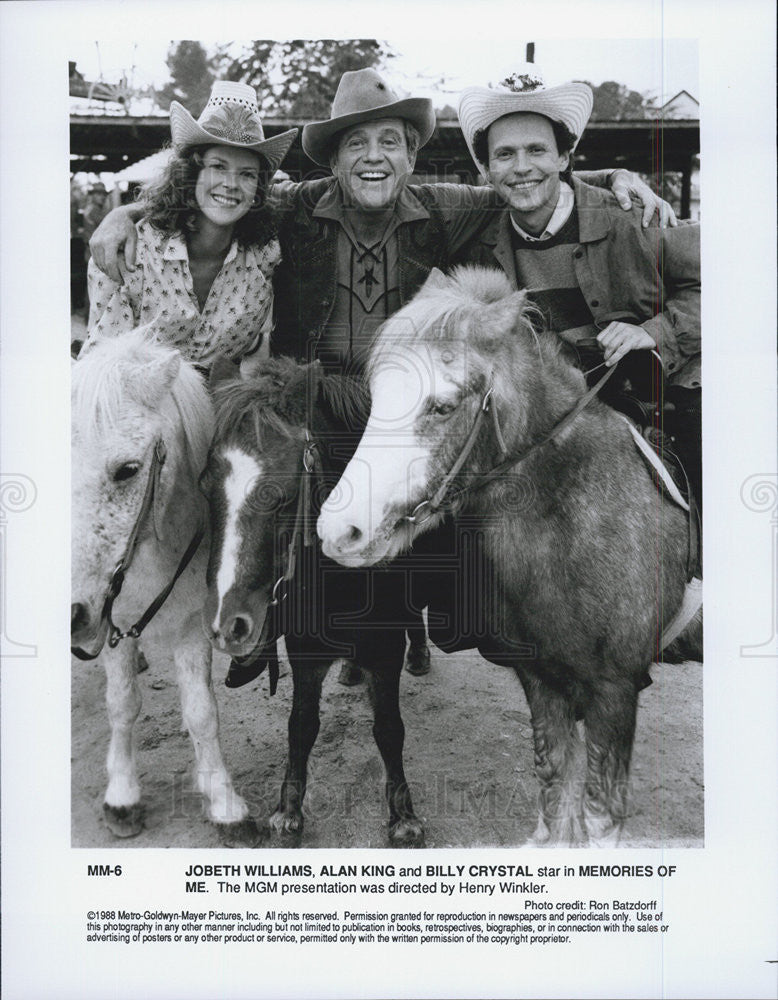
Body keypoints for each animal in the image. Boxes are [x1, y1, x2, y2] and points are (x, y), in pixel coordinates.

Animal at [70, 334, 258, 844]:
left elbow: (201, 712)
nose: (73, 616)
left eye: (128, 469)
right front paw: (122, 796)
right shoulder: (112, 615)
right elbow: (121, 704)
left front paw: (224, 802)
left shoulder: (192, 623)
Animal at [203, 358, 424, 844]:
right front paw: (288, 811)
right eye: (207, 488)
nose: (230, 626)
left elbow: (390, 728)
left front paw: (403, 816)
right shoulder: (304, 647)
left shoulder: (385, 646)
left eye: (282, 495)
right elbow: (301, 726)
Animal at [316, 264, 704, 844]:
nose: (340, 531)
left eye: (443, 406)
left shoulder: (613, 691)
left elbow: (598, 816)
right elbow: (556, 794)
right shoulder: (543, 681)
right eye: (377, 396)